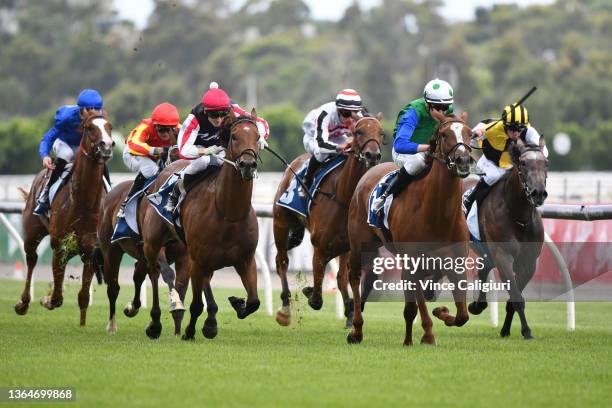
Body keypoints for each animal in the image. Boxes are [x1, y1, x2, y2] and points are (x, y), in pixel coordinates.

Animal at [14, 111, 114, 326]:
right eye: (89, 127)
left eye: (109, 126)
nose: (108, 145)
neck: (84, 203)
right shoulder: (60, 246)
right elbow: (57, 297)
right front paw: (45, 299)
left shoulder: (91, 250)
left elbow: (83, 296)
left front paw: (82, 326)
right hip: (32, 233)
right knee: (32, 260)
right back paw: (23, 303)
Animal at [141, 111, 262, 342]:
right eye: (234, 136)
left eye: (258, 137)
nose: (247, 165)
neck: (228, 213)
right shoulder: (198, 260)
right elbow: (196, 305)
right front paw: (189, 332)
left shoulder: (246, 260)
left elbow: (253, 302)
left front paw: (236, 303)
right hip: (152, 243)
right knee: (153, 274)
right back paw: (155, 324)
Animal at [272, 113, 382, 326]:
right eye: (359, 131)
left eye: (381, 132)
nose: (373, 155)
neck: (344, 196)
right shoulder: (320, 247)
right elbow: (316, 298)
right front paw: (309, 290)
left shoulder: (350, 245)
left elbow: (346, 277)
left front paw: (351, 311)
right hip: (280, 222)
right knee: (282, 261)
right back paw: (285, 308)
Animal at [344, 111, 474, 344]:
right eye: (444, 134)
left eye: (470, 133)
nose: (463, 160)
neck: (438, 214)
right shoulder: (412, 262)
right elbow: (414, 306)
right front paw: (422, 337)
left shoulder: (455, 263)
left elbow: (462, 315)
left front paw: (440, 313)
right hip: (359, 242)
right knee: (355, 274)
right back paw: (356, 330)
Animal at [466, 135, 548, 340]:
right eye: (523, 163)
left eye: (546, 163)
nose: (538, 193)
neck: (518, 216)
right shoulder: (503, 256)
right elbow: (516, 296)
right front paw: (527, 331)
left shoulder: (528, 262)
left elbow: (514, 297)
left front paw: (506, 329)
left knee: (483, 269)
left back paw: (477, 305)